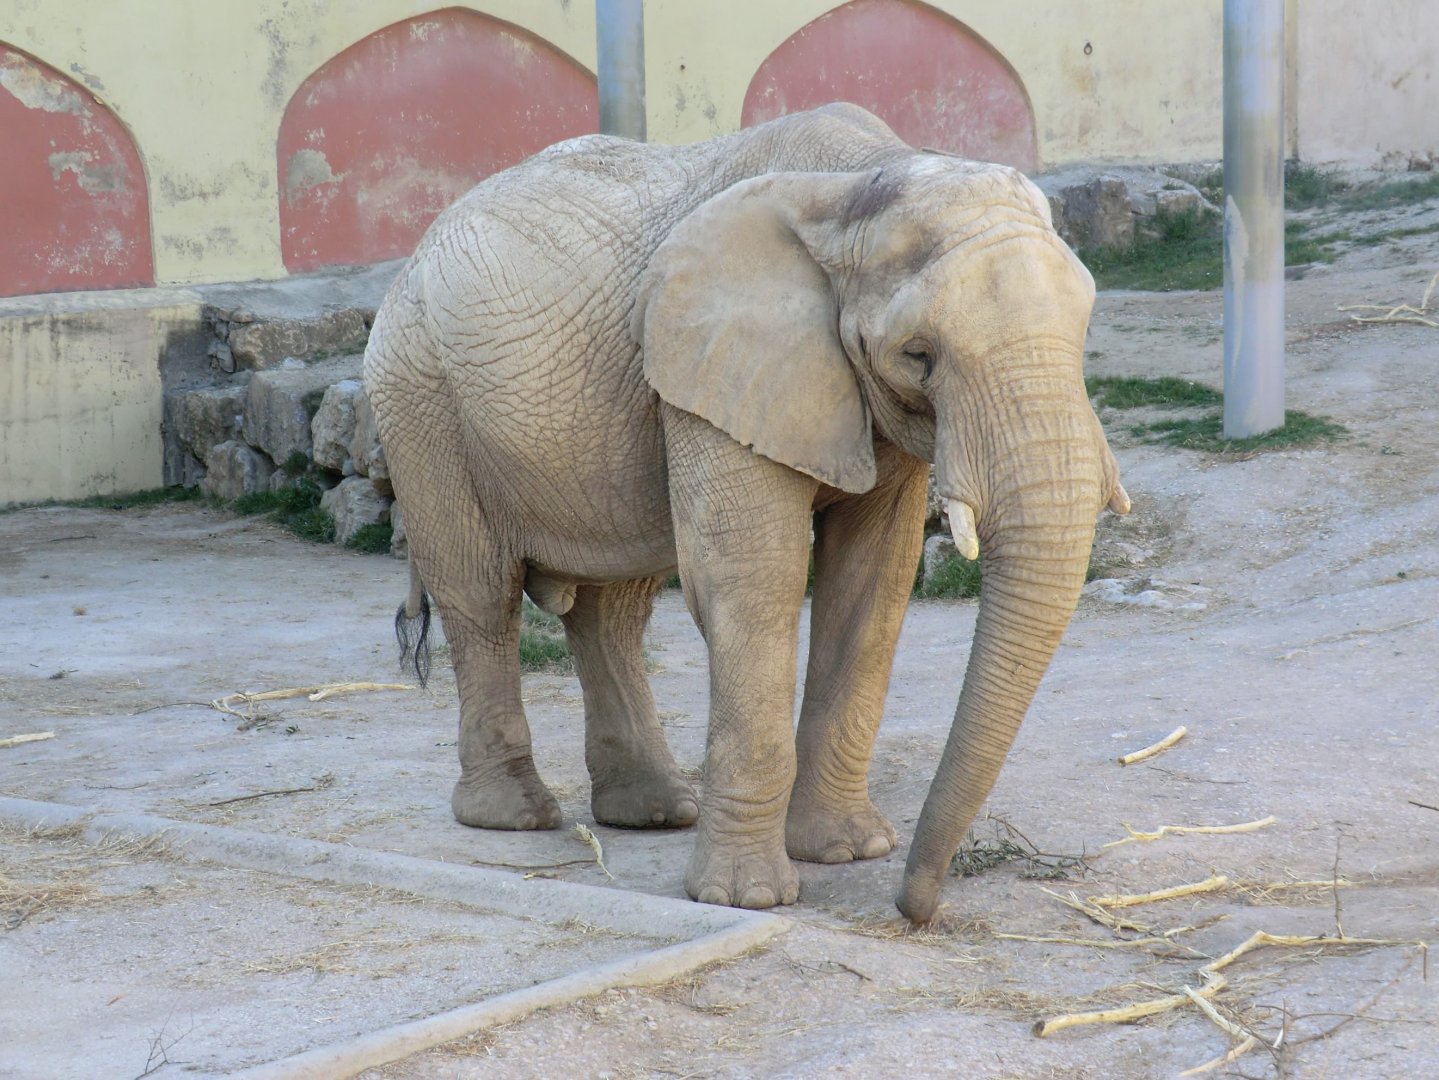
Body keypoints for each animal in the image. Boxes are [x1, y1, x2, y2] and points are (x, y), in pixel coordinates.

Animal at [363, 103, 1129, 923]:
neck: (861, 183)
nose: (912, 908)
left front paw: (845, 852)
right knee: (481, 595)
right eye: (917, 354)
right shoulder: (715, 368)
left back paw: (654, 811)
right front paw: (748, 898)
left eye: (1084, 331)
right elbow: (753, 583)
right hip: (420, 398)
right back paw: (514, 817)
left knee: (614, 608)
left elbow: (872, 582)